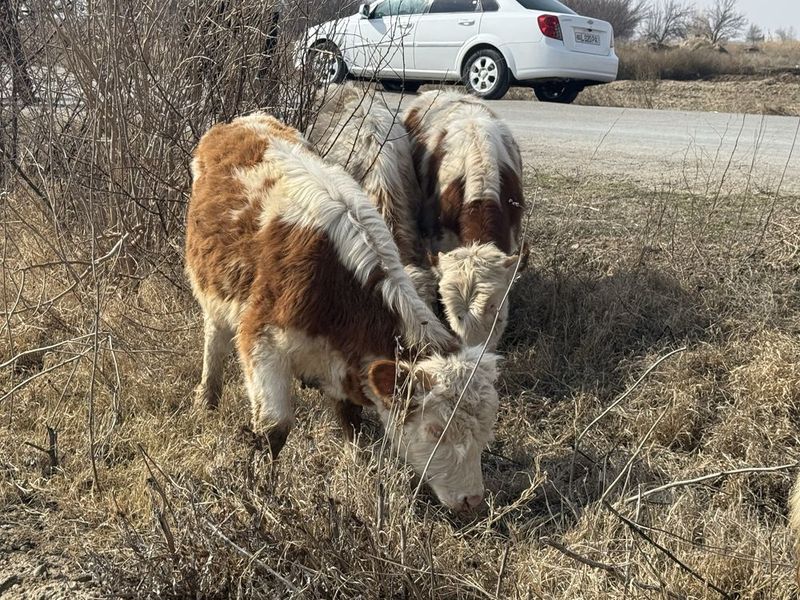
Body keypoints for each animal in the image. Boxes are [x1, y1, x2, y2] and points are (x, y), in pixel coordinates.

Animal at [186, 112, 500, 510]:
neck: (336, 287)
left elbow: (351, 420)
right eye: (435, 429)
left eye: (486, 429)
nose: (472, 499)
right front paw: (262, 489)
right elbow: (274, 429)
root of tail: (244, 121)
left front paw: (357, 467)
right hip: (211, 289)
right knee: (214, 340)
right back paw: (206, 400)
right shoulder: (261, 342)